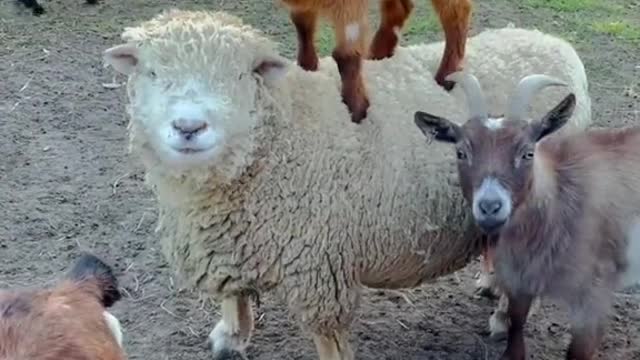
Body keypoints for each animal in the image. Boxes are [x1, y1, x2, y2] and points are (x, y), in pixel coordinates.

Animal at [282, 0, 472, 123]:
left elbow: (345, 54)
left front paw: (357, 110)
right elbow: (302, 23)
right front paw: (307, 67)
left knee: (457, 10)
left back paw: (447, 76)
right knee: (400, 9)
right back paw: (377, 54)